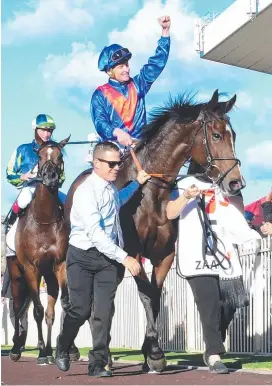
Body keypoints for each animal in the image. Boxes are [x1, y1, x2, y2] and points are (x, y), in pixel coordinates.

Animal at [7, 136, 79, 364]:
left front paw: (66, 350)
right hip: (16, 273)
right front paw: (39, 352)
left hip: (49, 275)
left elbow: (64, 305)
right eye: (39, 156)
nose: (50, 178)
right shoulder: (31, 268)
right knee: (18, 307)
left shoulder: (60, 264)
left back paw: (48, 350)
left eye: (60, 156)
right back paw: (17, 348)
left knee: (49, 311)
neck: (44, 221)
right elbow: (37, 310)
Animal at [63, 89, 244, 370]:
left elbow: (155, 297)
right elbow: (146, 295)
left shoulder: (164, 254)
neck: (151, 194)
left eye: (233, 134)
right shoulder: (134, 253)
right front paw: (156, 353)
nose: (236, 183)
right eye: (216, 135)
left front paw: (149, 352)